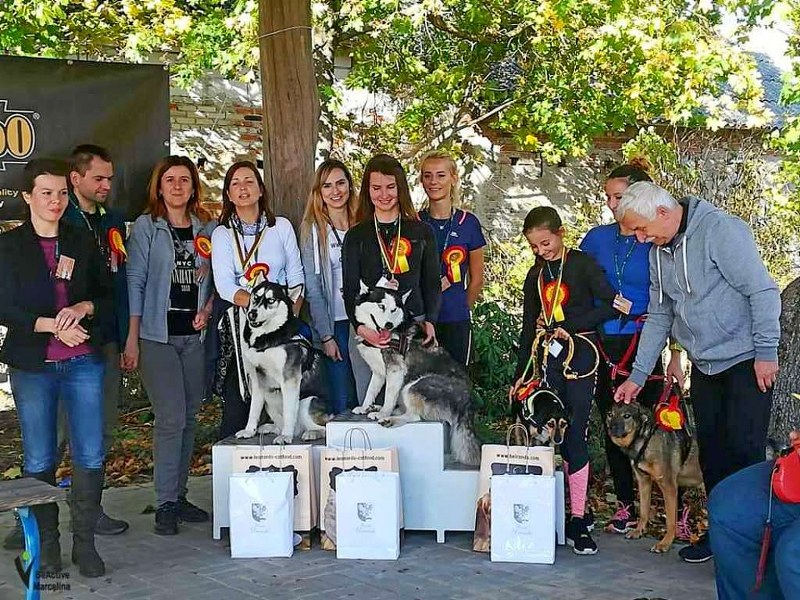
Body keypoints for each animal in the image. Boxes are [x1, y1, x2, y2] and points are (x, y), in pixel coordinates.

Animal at [236, 279, 329, 444]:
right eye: (256, 297)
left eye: (271, 300)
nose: (252, 314)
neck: (268, 338)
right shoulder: (258, 381)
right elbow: (253, 411)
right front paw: (249, 431)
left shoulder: (290, 380)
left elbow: (289, 412)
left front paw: (286, 436)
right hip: (269, 400)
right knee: (279, 424)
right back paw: (269, 428)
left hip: (306, 403)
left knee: (325, 427)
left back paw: (310, 433)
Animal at [352, 282, 481, 466]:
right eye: (381, 306)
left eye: (394, 309)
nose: (389, 325)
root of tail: (467, 403)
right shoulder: (378, 372)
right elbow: (371, 391)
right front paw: (365, 406)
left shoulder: (396, 370)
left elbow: (389, 396)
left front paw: (383, 412)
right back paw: (378, 408)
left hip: (415, 385)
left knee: (414, 416)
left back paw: (388, 418)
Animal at [607, 401, 704, 553]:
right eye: (610, 414)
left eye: (627, 416)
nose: (611, 428)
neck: (645, 441)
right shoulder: (643, 481)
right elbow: (644, 511)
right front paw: (638, 531)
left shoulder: (669, 487)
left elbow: (670, 521)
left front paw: (665, 543)